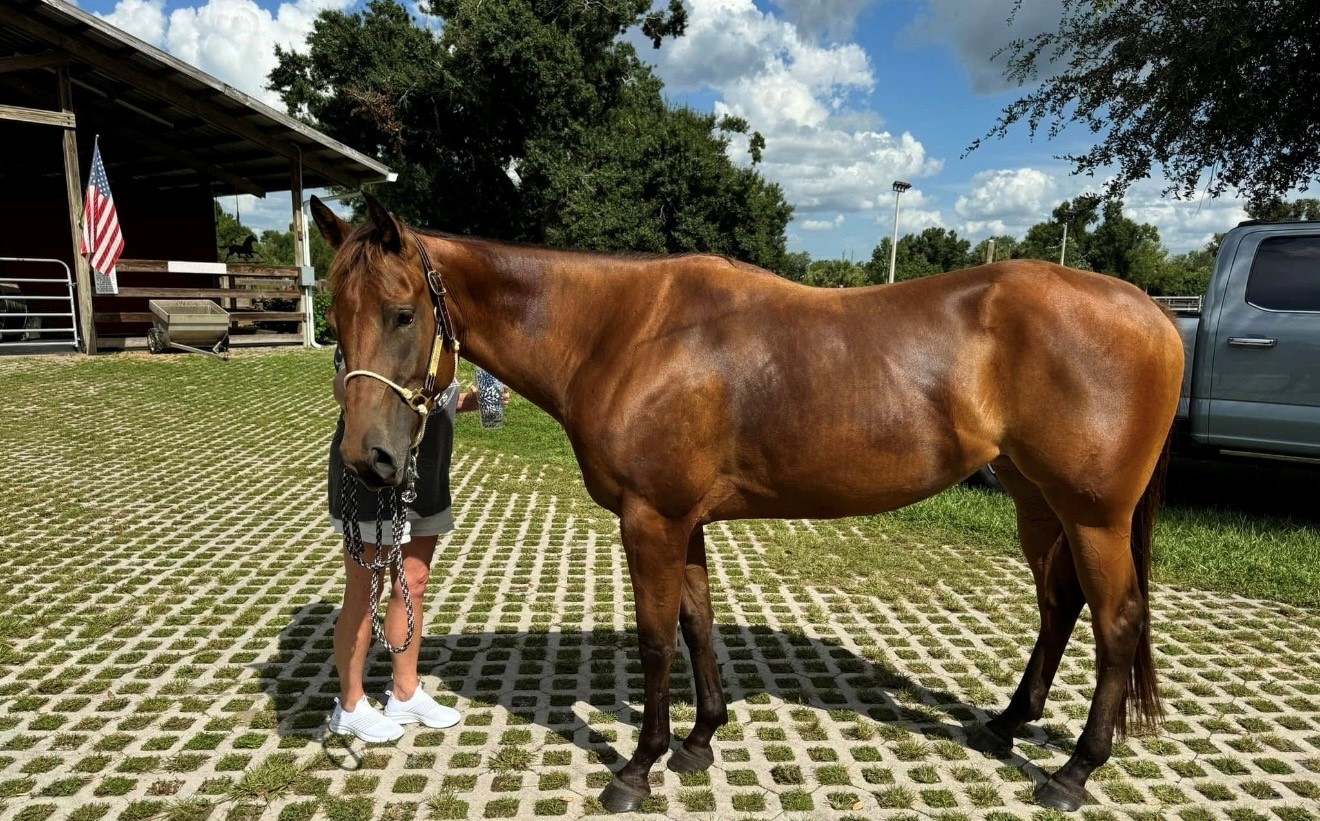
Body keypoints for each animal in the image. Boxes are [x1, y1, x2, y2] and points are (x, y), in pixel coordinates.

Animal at [311, 193, 1183, 813]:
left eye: (402, 313)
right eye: (337, 317)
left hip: (1094, 516)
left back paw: (1073, 770)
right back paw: (1006, 724)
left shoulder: (651, 520)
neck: (623, 331)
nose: (367, 459)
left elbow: (656, 639)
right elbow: (697, 623)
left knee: (1116, 621)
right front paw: (700, 738)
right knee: (1060, 603)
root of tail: (1155, 312)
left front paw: (638, 767)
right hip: (1038, 501)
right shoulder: (684, 520)